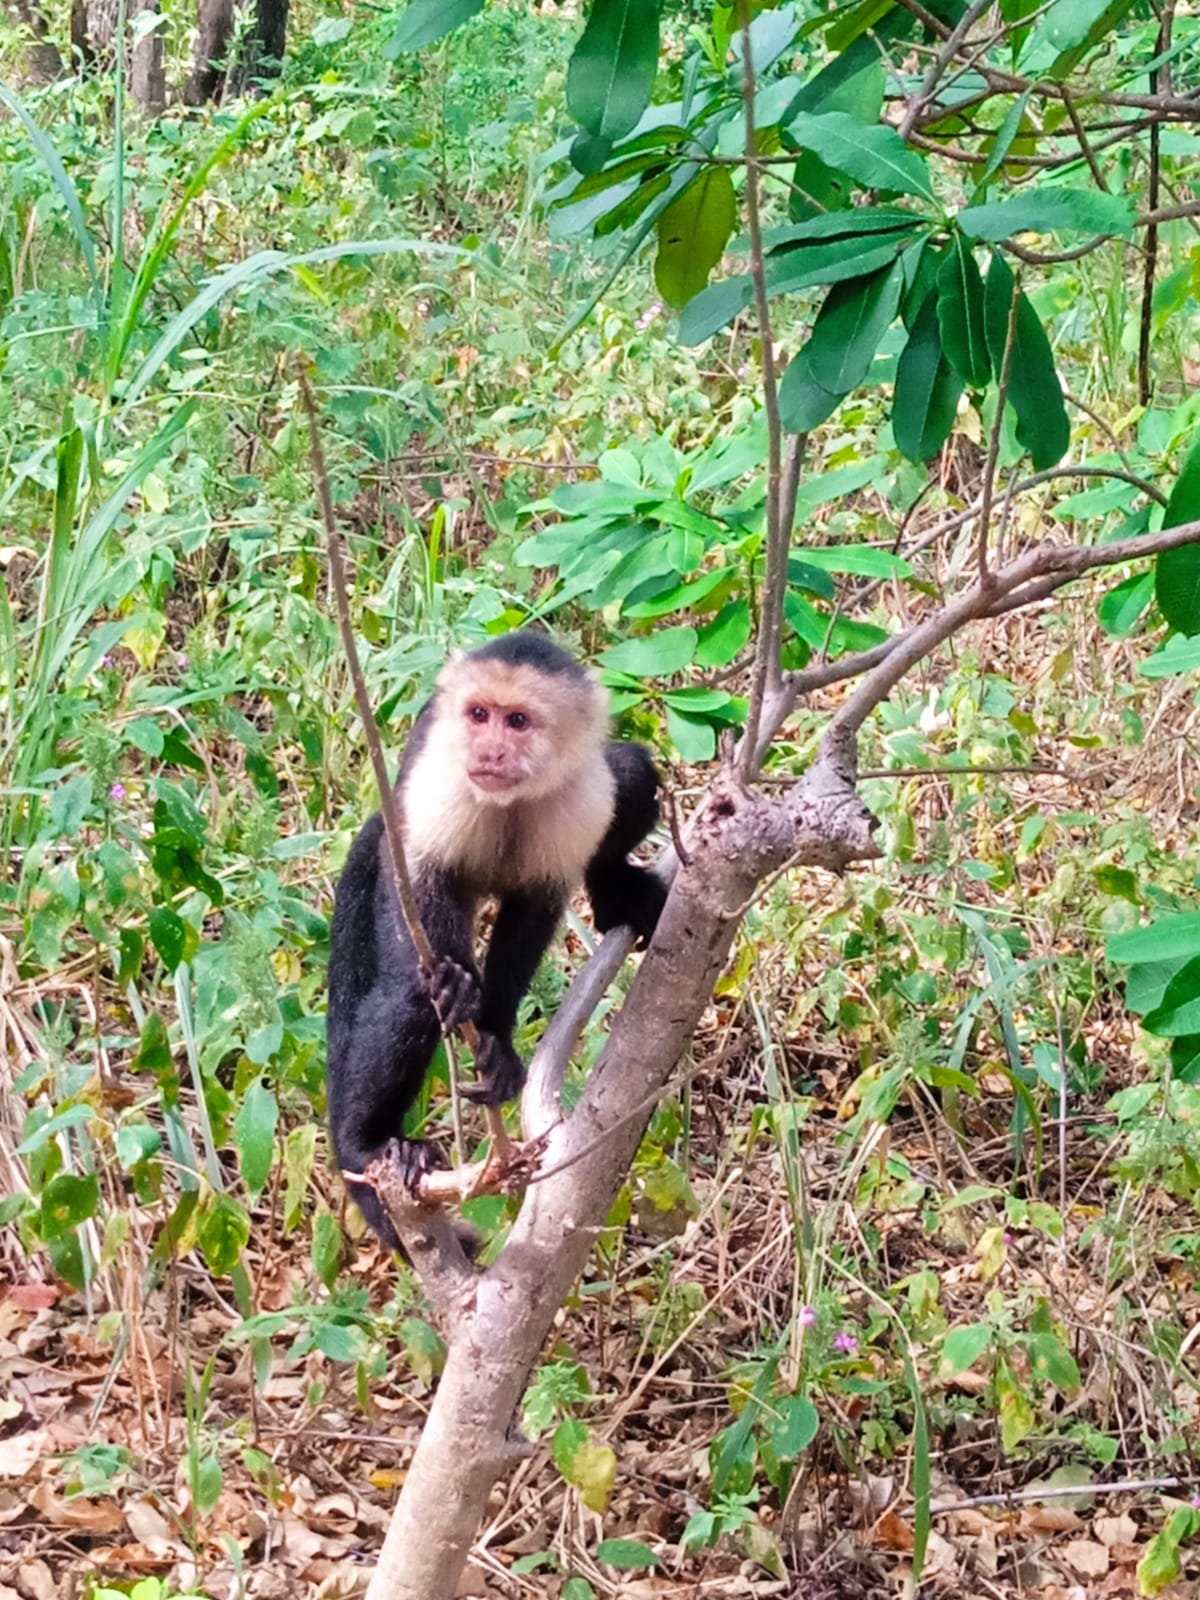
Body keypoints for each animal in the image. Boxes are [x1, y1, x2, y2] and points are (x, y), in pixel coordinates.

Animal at [325, 631, 666, 1250]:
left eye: (518, 721)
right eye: (478, 715)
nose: (489, 750)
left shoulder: (575, 801)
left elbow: (535, 908)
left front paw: (497, 1038)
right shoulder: (438, 786)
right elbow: (420, 875)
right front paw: (457, 983)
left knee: (630, 772)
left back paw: (614, 893)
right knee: (406, 993)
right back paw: (369, 1143)